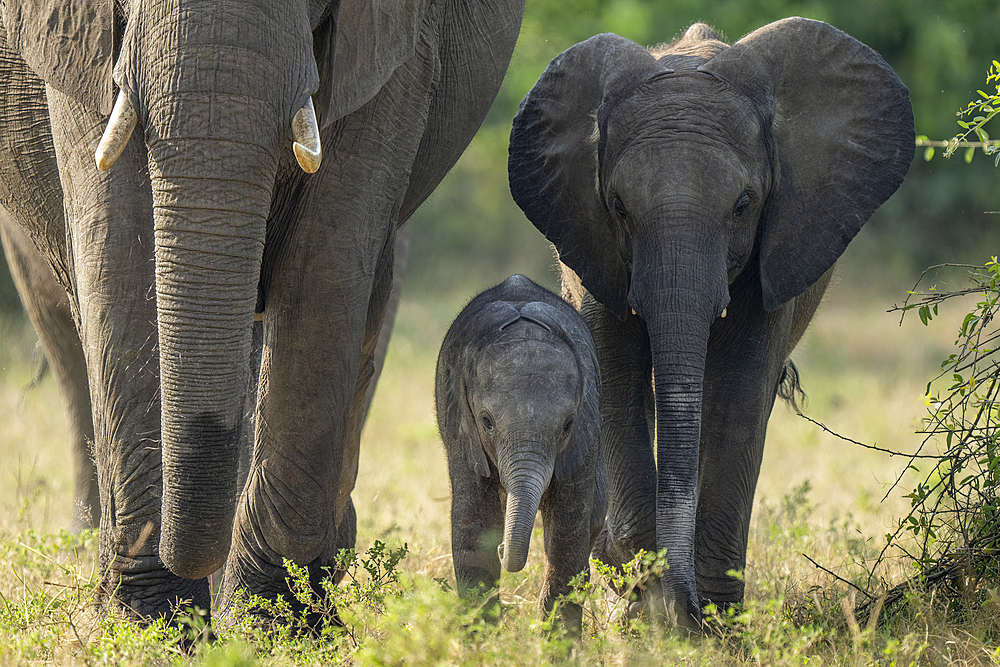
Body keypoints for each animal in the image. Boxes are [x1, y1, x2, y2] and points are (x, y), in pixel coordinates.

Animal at [436, 276, 604, 632]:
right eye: (486, 422)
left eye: (568, 425)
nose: (503, 547)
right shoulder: (460, 428)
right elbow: (474, 524)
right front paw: (481, 638)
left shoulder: (584, 434)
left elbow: (568, 531)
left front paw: (557, 641)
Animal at [512, 18, 912, 628]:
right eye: (619, 207)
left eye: (744, 205)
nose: (688, 610)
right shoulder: (592, 248)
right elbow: (616, 382)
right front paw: (648, 614)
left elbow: (737, 396)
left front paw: (714, 627)